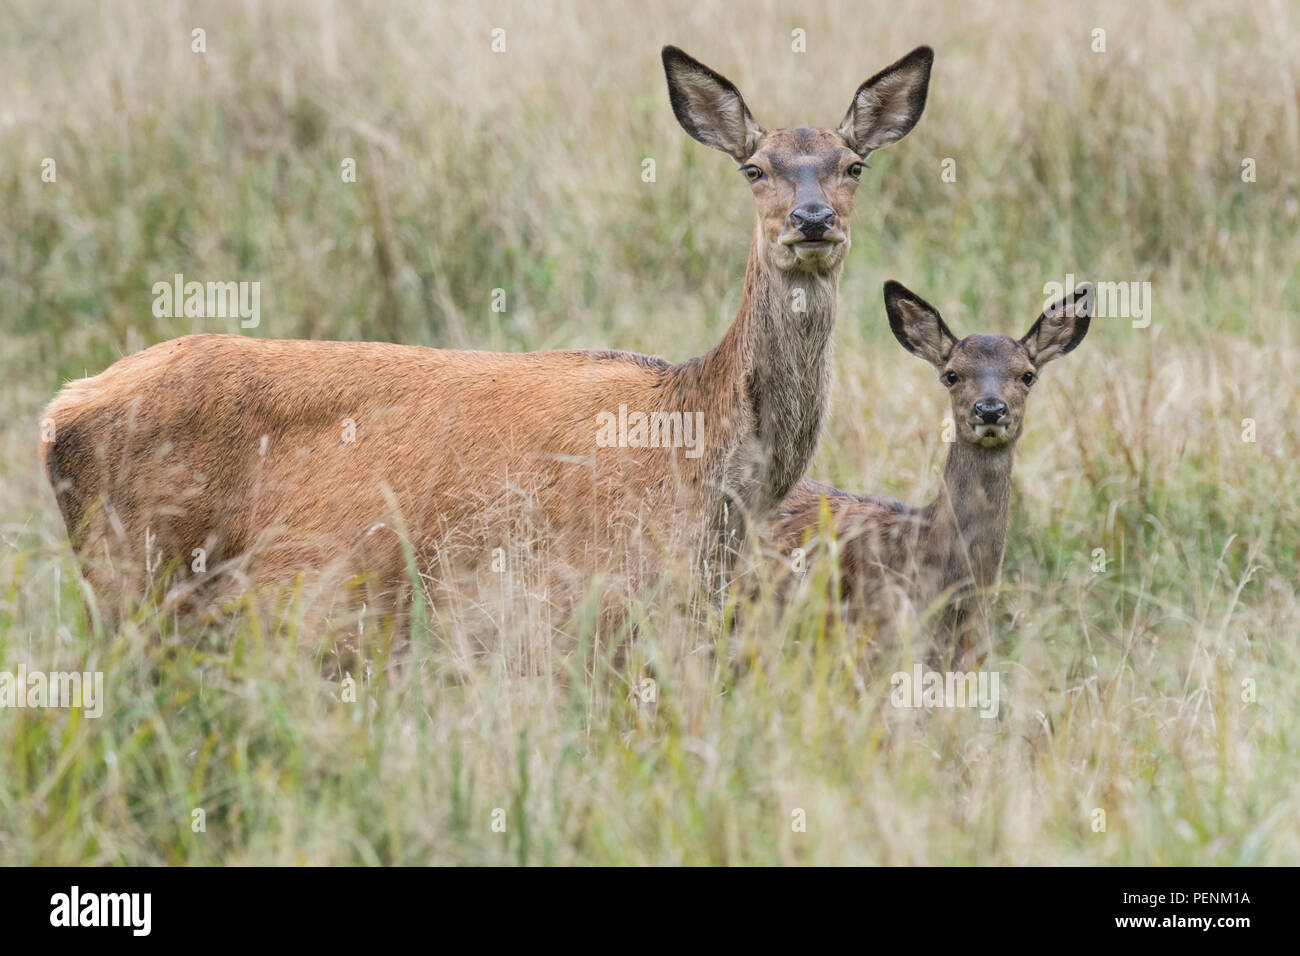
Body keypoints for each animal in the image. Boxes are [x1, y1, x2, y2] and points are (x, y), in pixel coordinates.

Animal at [43, 48, 935, 624]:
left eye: (853, 164)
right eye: (754, 169)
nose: (811, 220)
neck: (703, 450)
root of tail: (58, 413)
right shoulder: (585, 590)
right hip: (134, 570)